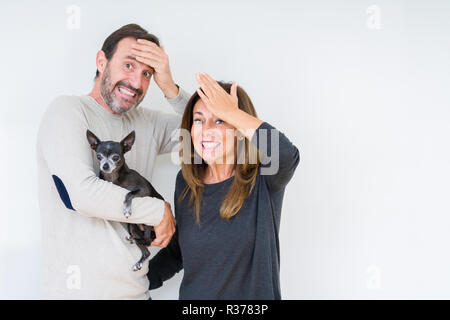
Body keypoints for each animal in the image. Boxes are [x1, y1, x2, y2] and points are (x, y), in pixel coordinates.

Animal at [85, 129, 162, 272]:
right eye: (99, 156)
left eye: (116, 157)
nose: (105, 166)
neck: (113, 177)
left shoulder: (144, 190)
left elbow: (128, 193)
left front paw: (126, 209)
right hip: (132, 226)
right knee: (146, 249)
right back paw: (136, 250)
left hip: (147, 224)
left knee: (147, 240)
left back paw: (133, 240)